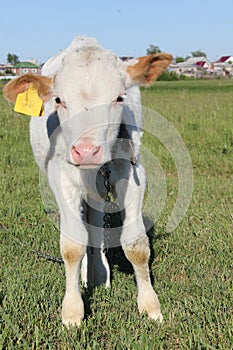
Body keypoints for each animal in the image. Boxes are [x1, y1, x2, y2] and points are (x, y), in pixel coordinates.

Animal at [3, 35, 171, 326]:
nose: (86, 150)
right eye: (59, 100)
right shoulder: (60, 175)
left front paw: (150, 306)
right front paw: (72, 311)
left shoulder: (132, 170)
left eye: (119, 97)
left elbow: (136, 244)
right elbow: (72, 245)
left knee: (96, 221)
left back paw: (98, 274)